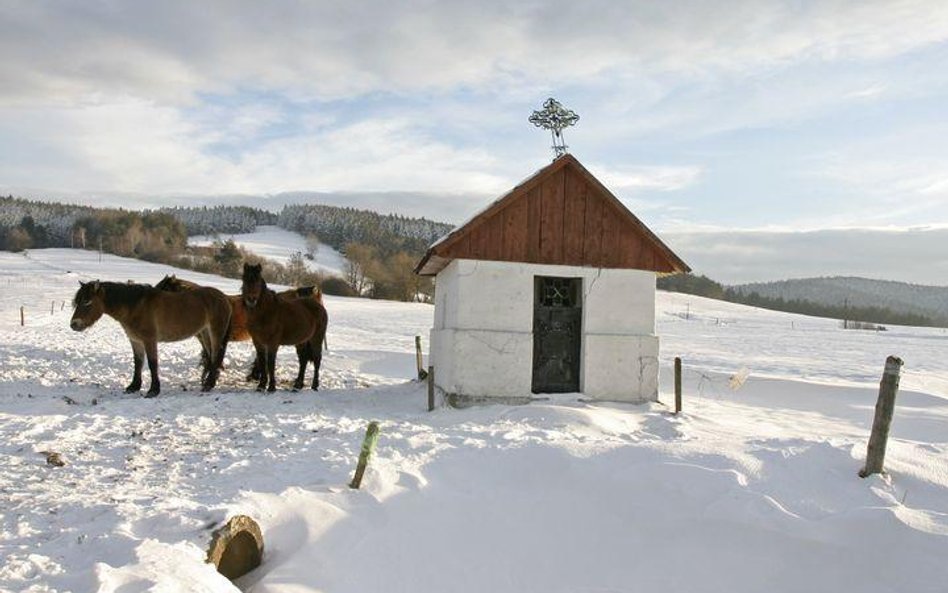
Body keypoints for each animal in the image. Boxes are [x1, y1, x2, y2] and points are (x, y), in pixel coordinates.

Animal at [69, 278, 232, 398]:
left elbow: (152, 363)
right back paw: (208, 382)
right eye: (78, 301)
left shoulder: (149, 340)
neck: (135, 307)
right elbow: (138, 363)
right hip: (204, 333)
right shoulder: (135, 341)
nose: (74, 325)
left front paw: (153, 390)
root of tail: (224, 298)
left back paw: (209, 384)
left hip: (215, 333)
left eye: (88, 302)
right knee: (212, 356)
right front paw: (133, 386)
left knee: (216, 355)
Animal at [239, 264, 328, 394]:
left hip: (316, 339)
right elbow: (262, 361)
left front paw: (271, 387)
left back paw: (314, 386)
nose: (251, 300)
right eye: (244, 280)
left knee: (317, 360)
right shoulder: (258, 342)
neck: (266, 312)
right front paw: (261, 386)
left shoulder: (272, 343)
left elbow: (270, 363)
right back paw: (298, 385)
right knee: (303, 360)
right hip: (301, 341)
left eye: (258, 282)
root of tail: (320, 307)